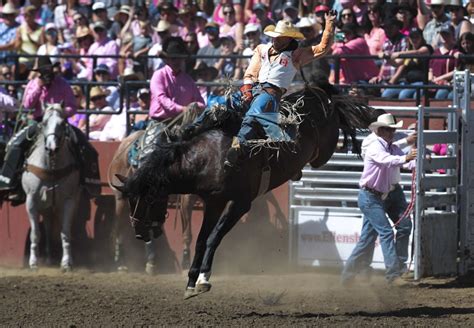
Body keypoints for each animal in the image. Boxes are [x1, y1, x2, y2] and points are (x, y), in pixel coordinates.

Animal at [22, 103, 80, 272]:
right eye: (44, 122)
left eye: (62, 123)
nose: (52, 148)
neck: (51, 167)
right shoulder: (31, 201)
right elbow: (35, 233)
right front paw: (33, 263)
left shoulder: (68, 201)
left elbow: (65, 233)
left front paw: (66, 263)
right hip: (45, 206)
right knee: (47, 229)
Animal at [119, 86, 382, 300]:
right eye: (130, 199)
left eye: (149, 198)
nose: (140, 232)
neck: (211, 157)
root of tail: (315, 94)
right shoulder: (213, 202)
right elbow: (202, 240)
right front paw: (192, 282)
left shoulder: (240, 203)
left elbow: (214, 237)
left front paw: (204, 279)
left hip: (323, 148)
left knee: (338, 116)